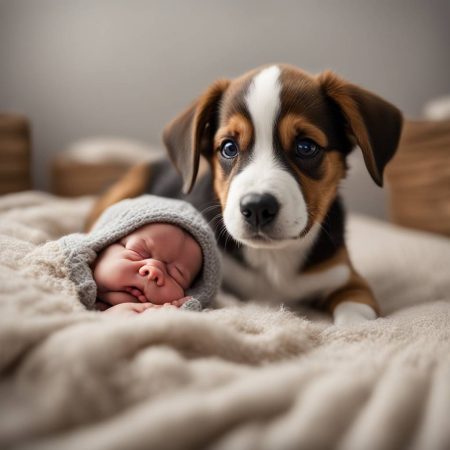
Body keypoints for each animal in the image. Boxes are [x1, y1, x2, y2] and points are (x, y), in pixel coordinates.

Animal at [86, 63, 402, 324]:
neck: (273, 259)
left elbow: (357, 314)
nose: (258, 207)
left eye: (306, 147)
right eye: (228, 147)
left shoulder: (348, 279)